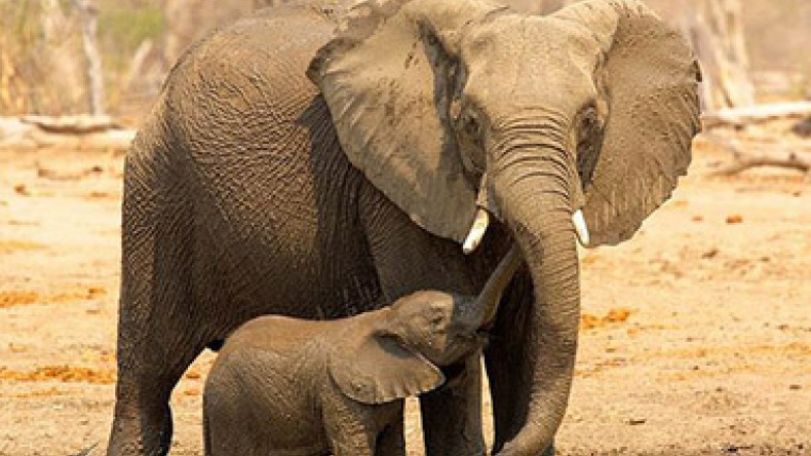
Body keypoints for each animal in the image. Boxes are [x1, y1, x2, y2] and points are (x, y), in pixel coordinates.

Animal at [203, 246, 522, 456]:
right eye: (437, 321)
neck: (384, 317)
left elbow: (392, 444)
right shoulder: (337, 395)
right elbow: (354, 446)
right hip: (232, 410)